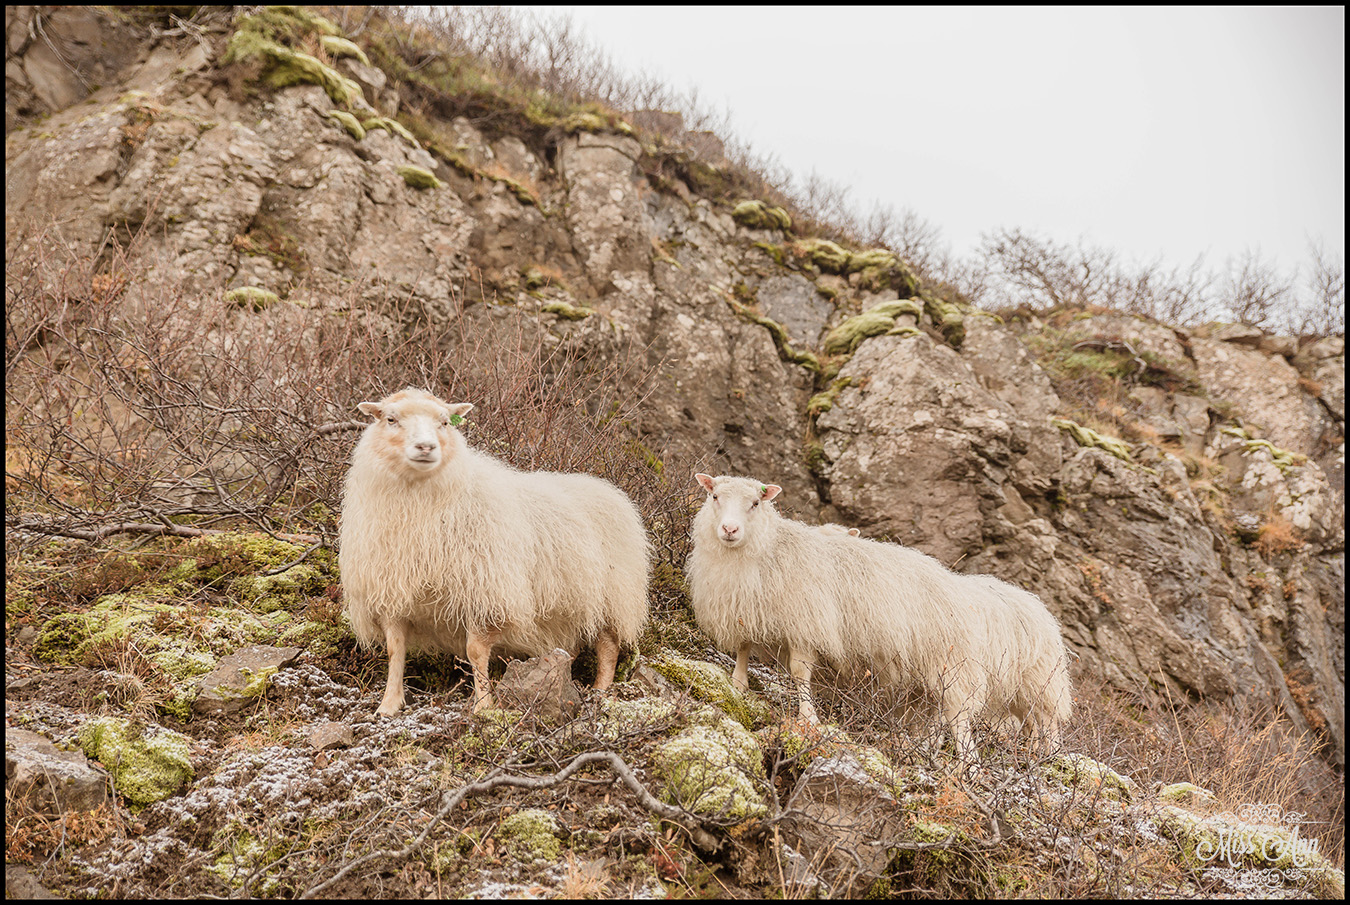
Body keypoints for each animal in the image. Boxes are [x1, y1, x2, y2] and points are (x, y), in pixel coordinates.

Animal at [339, 387, 651, 716]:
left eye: (445, 422)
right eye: (390, 419)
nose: (426, 447)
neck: (419, 505)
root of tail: (609, 489)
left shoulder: (485, 590)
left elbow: (475, 651)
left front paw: (484, 706)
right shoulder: (391, 592)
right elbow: (394, 648)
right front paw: (388, 704)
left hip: (613, 598)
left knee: (608, 647)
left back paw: (601, 691)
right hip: (569, 608)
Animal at [685, 473, 1071, 756]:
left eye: (754, 503)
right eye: (715, 497)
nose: (730, 530)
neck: (768, 548)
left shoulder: (808, 622)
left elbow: (799, 673)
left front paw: (808, 717)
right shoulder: (744, 607)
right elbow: (742, 649)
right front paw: (738, 685)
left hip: (999, 676)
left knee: (977, 719)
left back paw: (993, 763)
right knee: (968, 719)